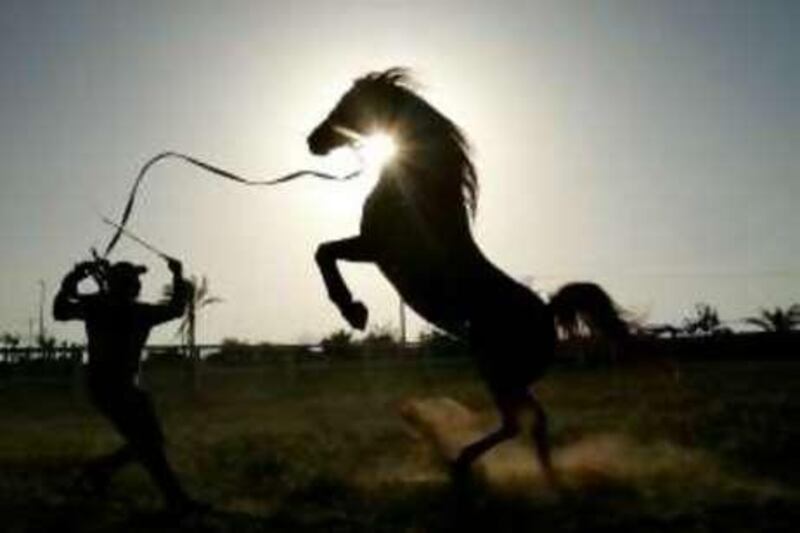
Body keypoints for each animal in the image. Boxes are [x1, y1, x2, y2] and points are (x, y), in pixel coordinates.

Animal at [306, 67, 624, 482]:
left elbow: (324, 252)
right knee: (534, 420)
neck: (415, 190)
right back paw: (546, 475)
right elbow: (324, 251)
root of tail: (548, 312)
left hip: (497, 370)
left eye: (347, 102)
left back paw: (460, 462)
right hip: (508, 375)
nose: (313, 140)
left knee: (516, 423)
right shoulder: (373, 248)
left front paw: (353, 311)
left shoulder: (375, 247)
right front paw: (355, 311)